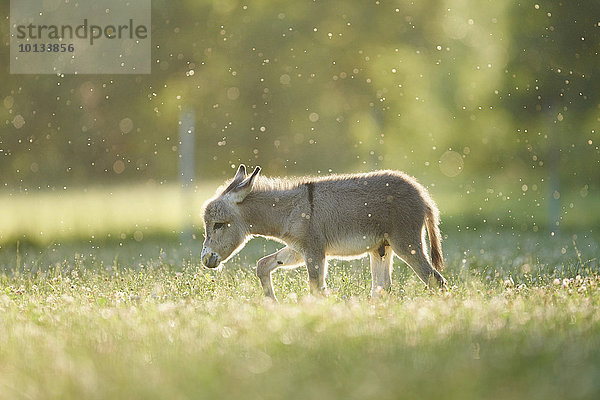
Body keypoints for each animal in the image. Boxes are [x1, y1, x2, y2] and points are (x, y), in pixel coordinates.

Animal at [202, 165, 446, 300]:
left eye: (218, 225)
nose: (205, 259)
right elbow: (263, 265)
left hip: (406, 244)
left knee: (435, 280)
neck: (291, 210)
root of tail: (424, 196)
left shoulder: (314, 252)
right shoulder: (297, 250)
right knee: (381, 289)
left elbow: (316, 289)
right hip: (381, 249)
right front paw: (273, 305)